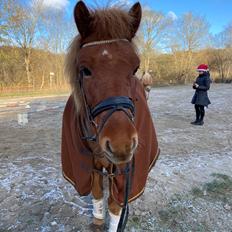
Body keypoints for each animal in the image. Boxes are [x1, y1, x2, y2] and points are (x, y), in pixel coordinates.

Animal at [61, 0, 160, 231]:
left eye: (135, 68)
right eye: (85, 70)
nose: (121, 144)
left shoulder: (123, 169)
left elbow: (116, 203)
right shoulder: (92, 164)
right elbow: (97, 192)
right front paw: (98, 219)